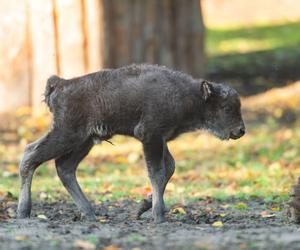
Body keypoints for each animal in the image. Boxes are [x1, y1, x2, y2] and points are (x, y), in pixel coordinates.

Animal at [16, 64, 245, 223]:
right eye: (226, 107)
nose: (240, 131)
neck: (188, 95)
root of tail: (61, 84)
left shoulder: (161, 140)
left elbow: (169, 168)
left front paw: (143, 207)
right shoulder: (150, 137)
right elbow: (157, 172)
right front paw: (158, 215)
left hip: (84, 141)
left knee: (64, 167)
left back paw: (89, 213)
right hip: (67, 135)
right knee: (31, 154)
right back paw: (23, 211)